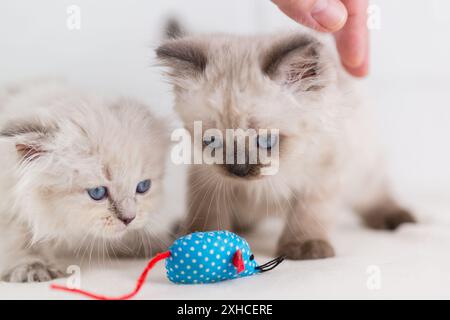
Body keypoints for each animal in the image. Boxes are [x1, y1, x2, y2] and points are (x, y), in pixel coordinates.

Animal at [0, 81, 169, 282]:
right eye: (97, 193)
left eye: (143, 187)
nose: (129, 219)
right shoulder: (9, 209)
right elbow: (19, 239)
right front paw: (32, 265)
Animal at [156, 29, 416, 260]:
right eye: (212, 141)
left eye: (266, 140)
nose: (239, 170)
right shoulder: (207, 177)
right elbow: (207, 214)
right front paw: (201, 240)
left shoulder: (320, 174)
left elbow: (307, 213)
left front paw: (304, 248)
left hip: (362, 173)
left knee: (376, 196)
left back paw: (398, 219)